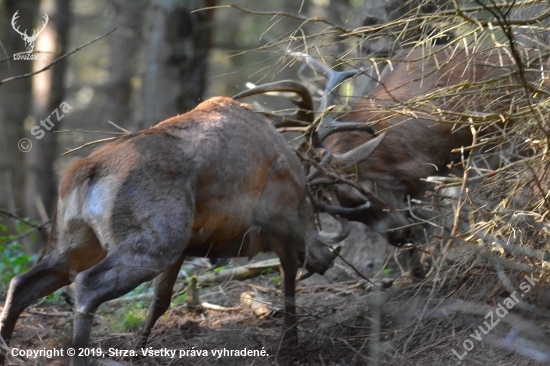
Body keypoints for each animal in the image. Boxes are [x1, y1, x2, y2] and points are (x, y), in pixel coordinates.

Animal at [0, 96, 344, 364]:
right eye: (313, 210)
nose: (325, 258)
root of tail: (85, 170)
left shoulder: (186, 246)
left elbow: (160, 301)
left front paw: (137, 353)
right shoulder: (280, 220)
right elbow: (288, 280)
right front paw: (291, 344)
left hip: (74, 241)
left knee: (21, 282)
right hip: (153, 241)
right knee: (86, 285)